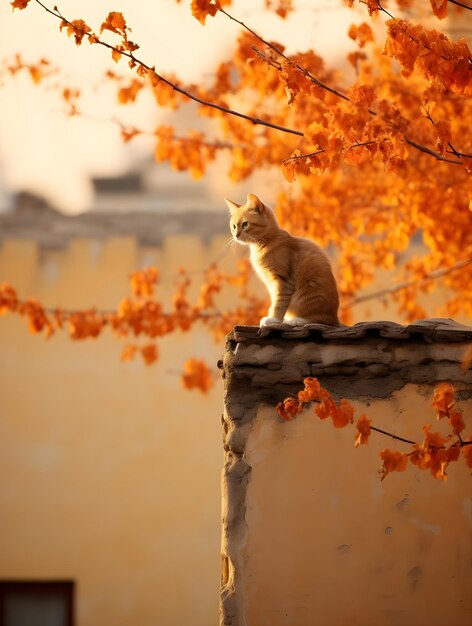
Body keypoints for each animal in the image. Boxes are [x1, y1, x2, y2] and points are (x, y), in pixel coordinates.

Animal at [225, 193, 340, 324]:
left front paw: (274, 319)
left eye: (245, 225)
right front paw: (277, 319)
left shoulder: (282, 281)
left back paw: (297, 320)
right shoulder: (271, 284)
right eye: (234, 226)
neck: (265, 243)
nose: (236, 235)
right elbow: (276, 300)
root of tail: (335, 317)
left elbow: (279, 302)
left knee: (321, 319)